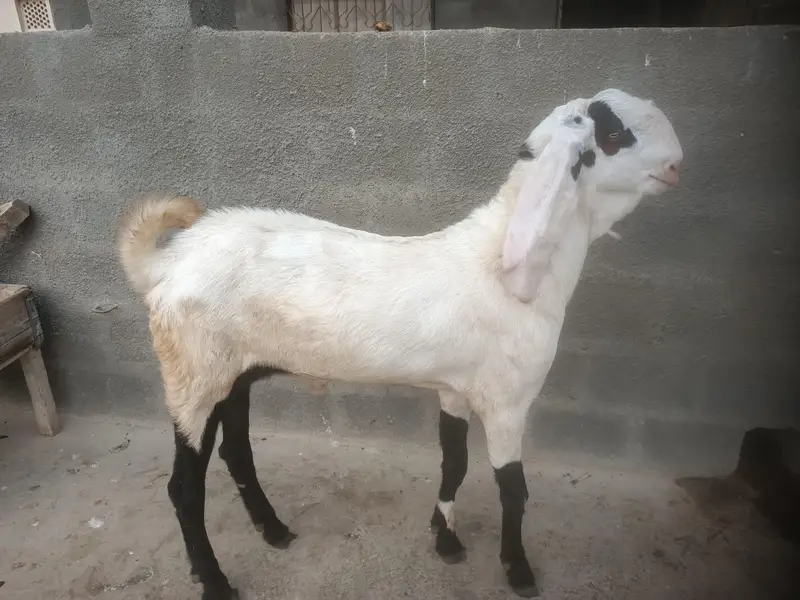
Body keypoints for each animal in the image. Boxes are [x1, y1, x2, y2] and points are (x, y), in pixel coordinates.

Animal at [117, 88, 683, 599]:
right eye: (614, 135)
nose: (677, 164)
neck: (505, 263)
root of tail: (167, 264)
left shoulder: (455, 388)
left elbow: (454, 461)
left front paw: (445, 538)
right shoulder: (508, 400)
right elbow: (513, 489)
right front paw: (518, 571)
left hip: (233, 374)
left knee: (236, 452)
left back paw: (274, 530)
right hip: (192, 376)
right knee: (185, 488)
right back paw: (215, 582)